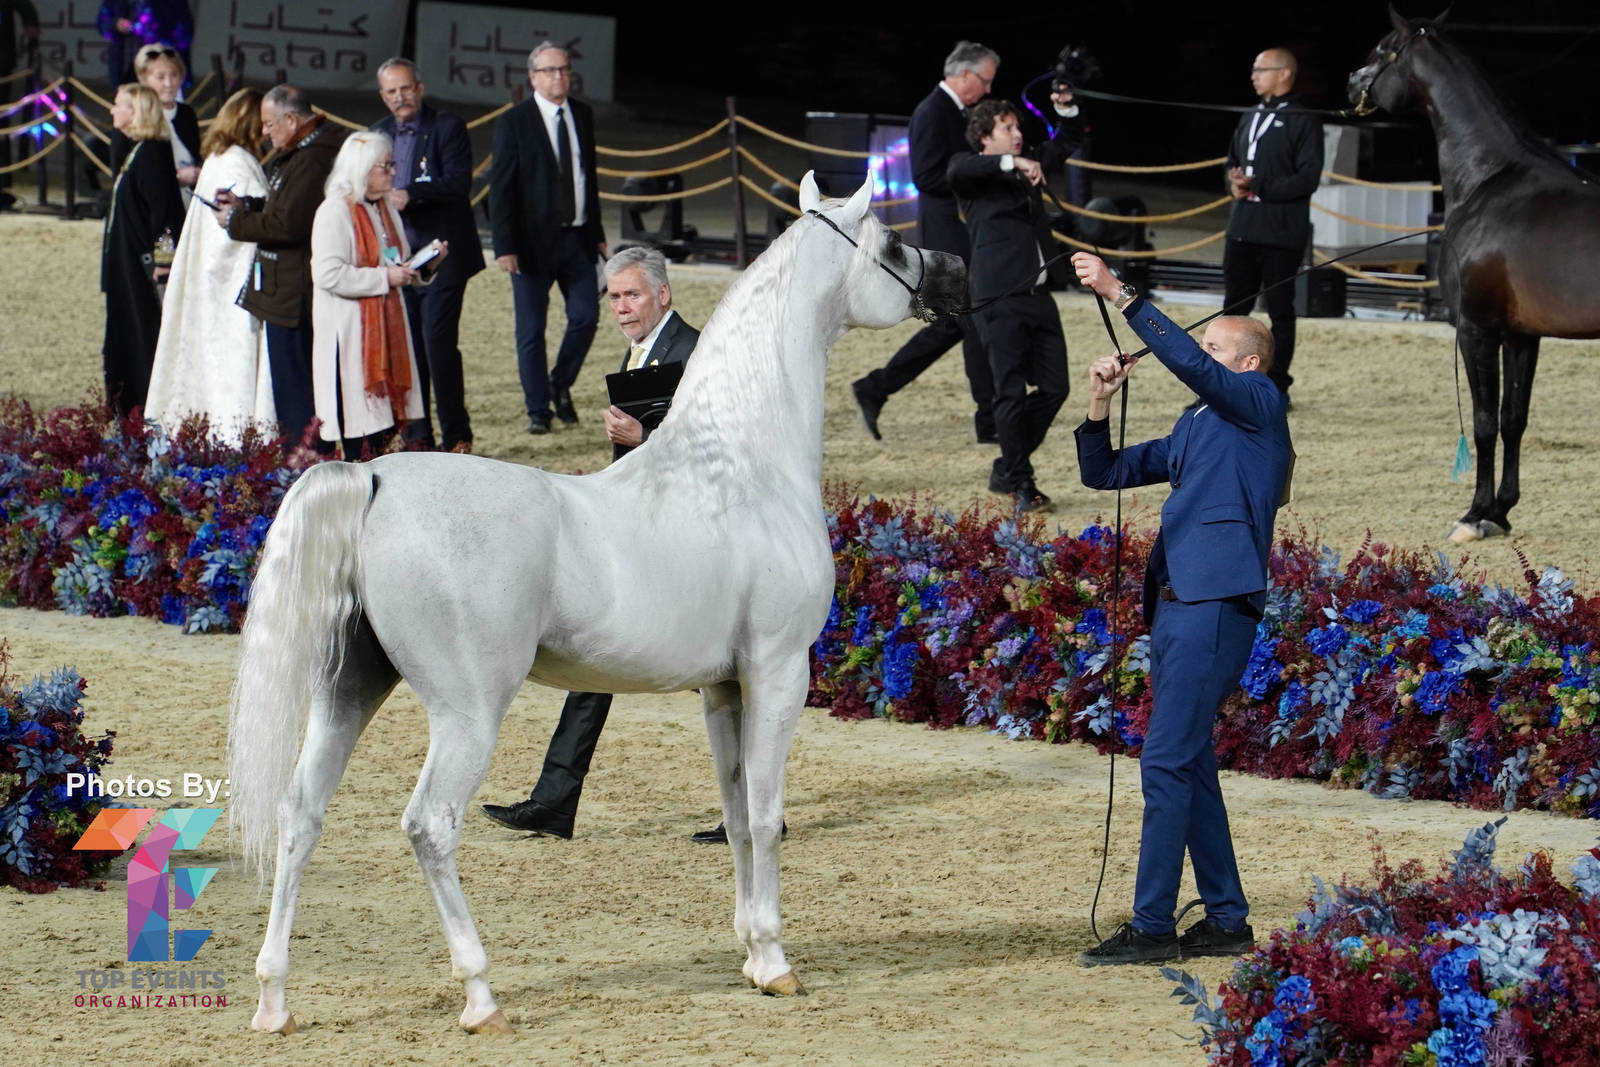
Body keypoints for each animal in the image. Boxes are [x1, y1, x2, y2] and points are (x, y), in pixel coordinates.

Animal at [226, 172, 965, 1035]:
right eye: (891, 243)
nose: (953, 269)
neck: (743, 460)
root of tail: (373, 479)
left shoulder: (723, 687)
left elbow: (735, 812)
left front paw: (751, 953)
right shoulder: (780, 672)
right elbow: (767, 814)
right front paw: (778, 962)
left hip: (350, 687)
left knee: (300, 812)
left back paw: (274, 1000)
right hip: (467, 711)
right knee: (429, 824)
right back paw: (481, 994)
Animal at [1348, 7, 1600, 542]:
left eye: (1381, 50)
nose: (1351, 82)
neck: (1491, 178)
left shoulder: (1476, 329)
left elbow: (1484, 422)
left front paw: (1474, 515)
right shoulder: (1523, 335)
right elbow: (1514, 418)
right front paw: (1501, 511)